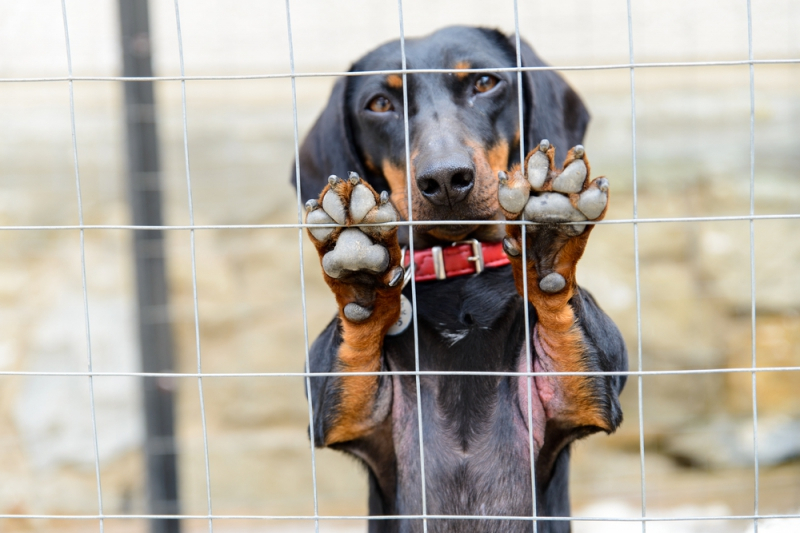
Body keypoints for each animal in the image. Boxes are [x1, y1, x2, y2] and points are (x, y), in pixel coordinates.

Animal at [290, 26, 628, 532]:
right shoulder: (346, 414)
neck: (459, 271)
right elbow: (356, 335)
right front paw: (361, 277)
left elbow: (560, 306)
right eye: (379, 104)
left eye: (485, 82)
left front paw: (546, 238)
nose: (446, 178)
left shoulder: (584, 397)